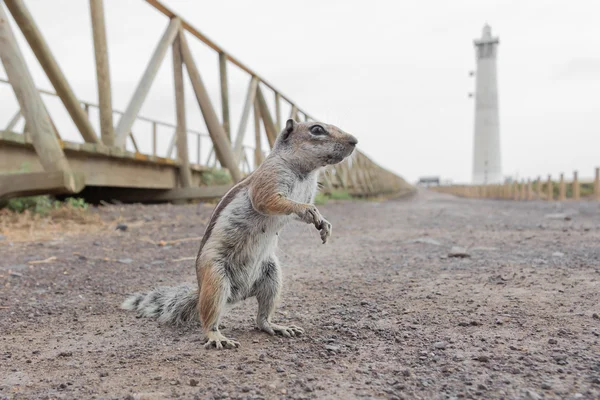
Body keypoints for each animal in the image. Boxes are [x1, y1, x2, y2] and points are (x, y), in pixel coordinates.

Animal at [120, 117, 356, 348]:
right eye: (316, 129)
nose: (354, 141)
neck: (304, 172)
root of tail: (238, 294)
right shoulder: (269, 179)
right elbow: (270, 201)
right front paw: (308, 210)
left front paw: (324, 224)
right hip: (216, 279)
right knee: (208, 318)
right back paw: (216, 336)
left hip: (272, 277)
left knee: (261, 318)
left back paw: (276, 326)